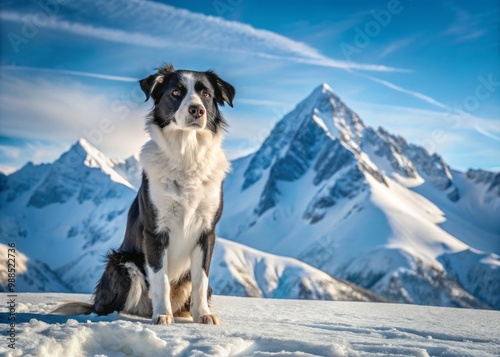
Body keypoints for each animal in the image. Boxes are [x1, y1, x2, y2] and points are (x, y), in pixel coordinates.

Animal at [54, 63, 234, 322]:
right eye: (176, 92)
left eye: (206, 94)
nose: (197, 110)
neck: (186, 154)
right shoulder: (155, 232)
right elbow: (160, 279)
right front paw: (163, 316)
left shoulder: (207, 232)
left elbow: (201, 279)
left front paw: (203, 315)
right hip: (123, 264)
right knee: (110, 307)